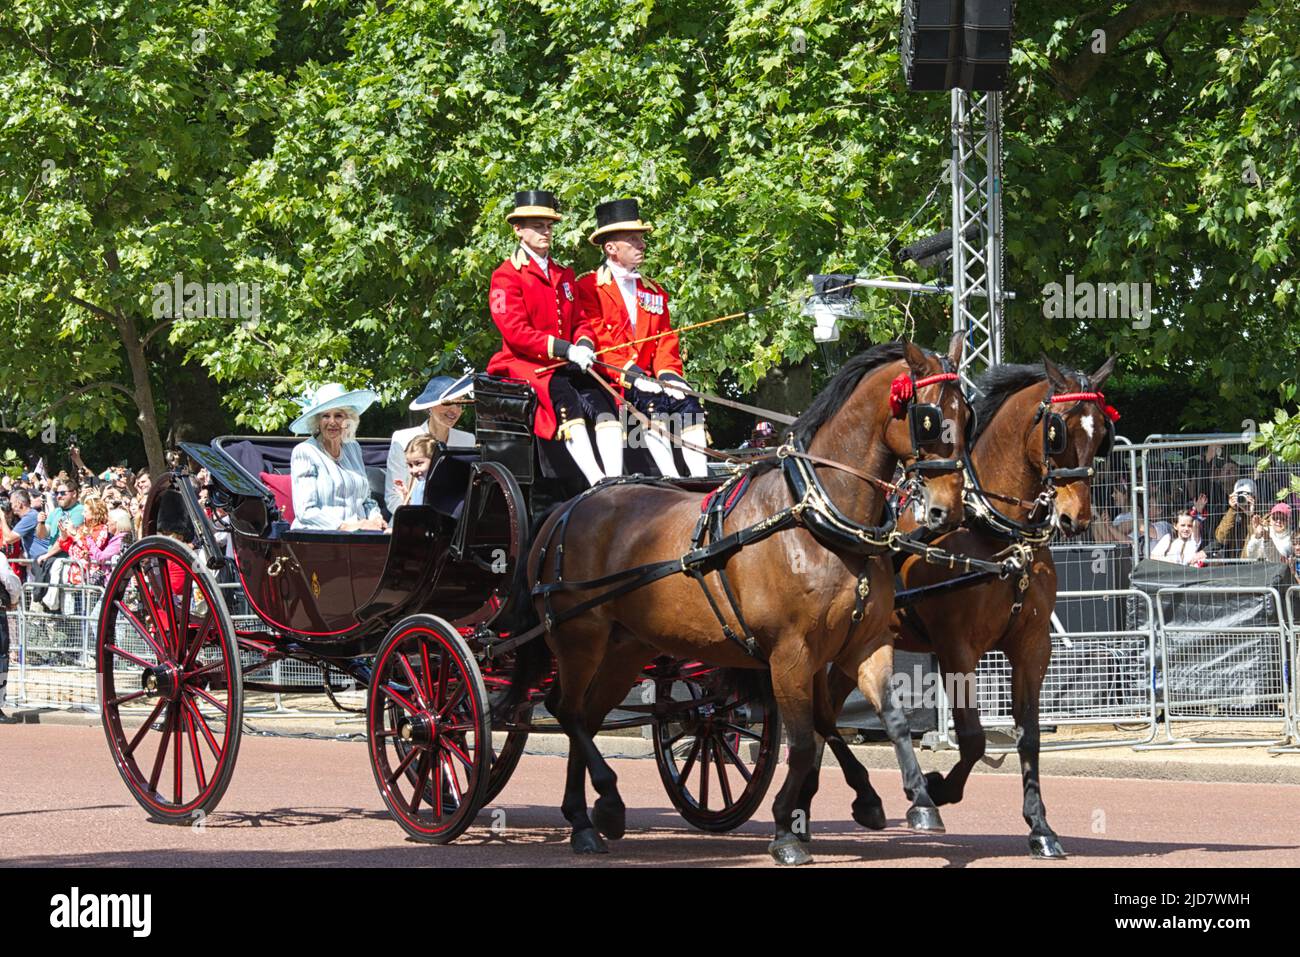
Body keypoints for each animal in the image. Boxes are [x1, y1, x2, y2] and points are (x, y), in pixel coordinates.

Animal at [522, 338, 972, 868]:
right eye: (929, 418)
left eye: (967, 414)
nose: (947, 511)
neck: (818, 518)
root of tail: (567, 509)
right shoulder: (790, 654)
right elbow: (803, 742)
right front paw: (785, 829)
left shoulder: (864, 644)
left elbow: (889, 719)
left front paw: (917, 800)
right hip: (580, 639)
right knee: (566, 710)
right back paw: (598, 805)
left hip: (625, 648)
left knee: (587, 717)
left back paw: (589, 818)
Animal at [811, 353, 1118, 858]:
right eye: (1059, 431)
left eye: (1100, 437)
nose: (1076, 519)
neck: (993, 533)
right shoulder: (957, 648)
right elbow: (972, 738)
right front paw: (937, 789)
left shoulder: (1032, 646)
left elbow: (1029, 736)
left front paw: (1040, 828)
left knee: (822, 714)